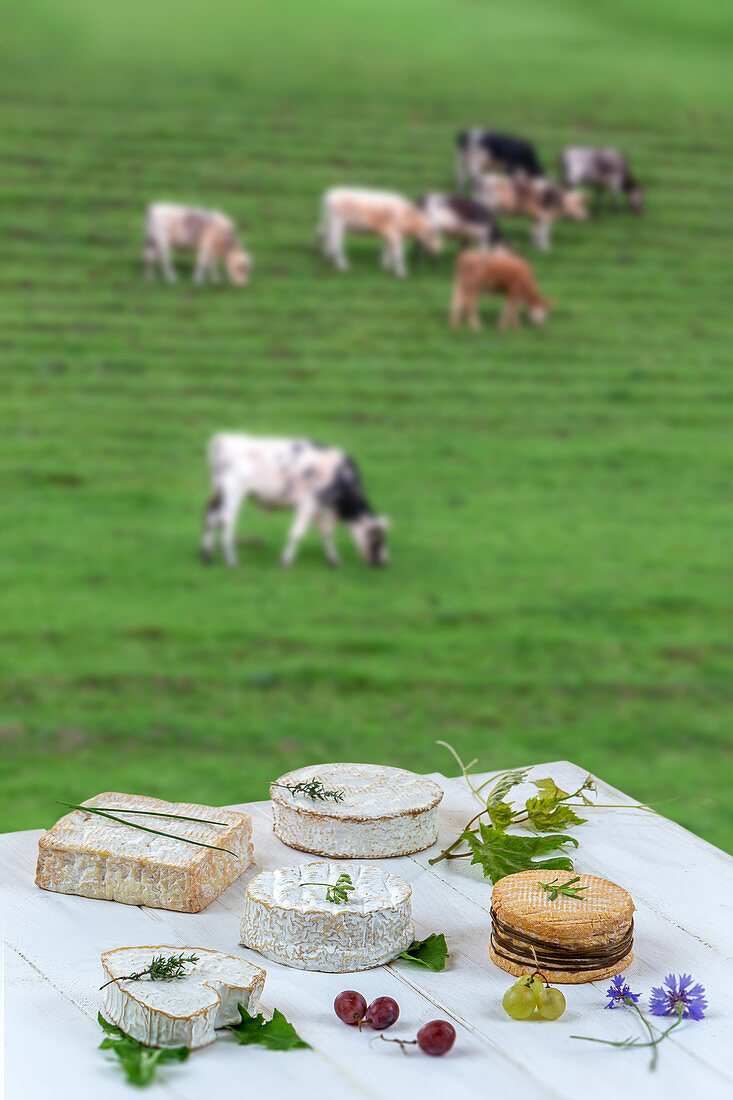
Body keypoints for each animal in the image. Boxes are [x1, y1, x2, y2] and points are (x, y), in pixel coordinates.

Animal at [197, 431, 391, 567]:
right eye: (378, 539)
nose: (384, 562)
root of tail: (224, 439)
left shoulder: (323, 508)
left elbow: (327, 533)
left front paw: (333, 560)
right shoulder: (309, 504)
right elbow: (297, 533)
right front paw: (285, 562)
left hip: (218, 491)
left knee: (211, 517)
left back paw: (206, 556)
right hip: (233, 491)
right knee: (226, 521)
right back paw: (232, 561)